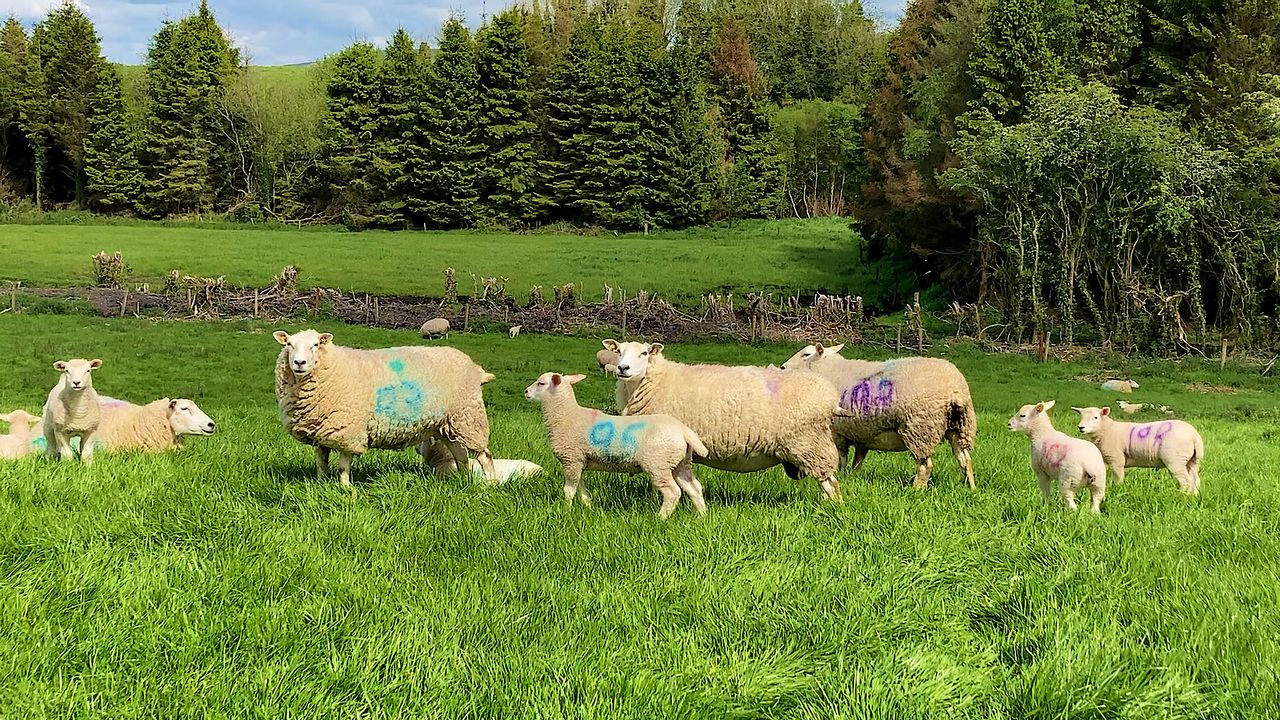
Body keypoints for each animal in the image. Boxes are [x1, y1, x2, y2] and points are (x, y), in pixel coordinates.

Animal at [275, 329, 498, 487]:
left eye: (315, 345)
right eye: (289, 344)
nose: (299, 363)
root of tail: (476, 369)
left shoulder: (349, 431)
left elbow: (343, 467)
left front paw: (345, 489)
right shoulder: (322, 430)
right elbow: (321, 462)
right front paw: (321, 484)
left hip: (469, 417)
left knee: (484, 455)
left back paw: (491, 485)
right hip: (448, 425)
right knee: (461, 457)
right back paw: (463, 482)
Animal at [526, 371, 708, 518]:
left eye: (541, 383)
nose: (526, 391)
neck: (566, 415)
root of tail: (683, 430)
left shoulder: (572, 459)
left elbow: (569, 490)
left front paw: (566, 510)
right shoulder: (579, 462)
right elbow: (581, 488)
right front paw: (588, 506)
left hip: (658, 463)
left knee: (672, 492)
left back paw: (661, 518)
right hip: (680, 462)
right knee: (694, 488)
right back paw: (701, 515)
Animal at [605, 339, 847, 501]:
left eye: (644, 353)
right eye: (618, 351)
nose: (623, 368)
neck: (657, 382)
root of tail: (830, 396)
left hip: (810, 445)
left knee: (830, 483)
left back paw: (831, 507)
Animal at [780, 342, 976, 489]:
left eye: (806, 354)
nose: (782, 367)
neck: (829, 370)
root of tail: (954, 389)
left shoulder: (838, 433)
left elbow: (842, 460)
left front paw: (842, 476)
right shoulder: (861, 434)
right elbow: (857, 462)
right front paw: (852, 477)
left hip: (920, 428)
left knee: (925, 465)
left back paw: (916, 490)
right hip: (959, 427)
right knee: (965, 459)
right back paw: (971, 487)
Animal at [1072, 405, 1204, 494]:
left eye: (1095, 417)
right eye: (1081, 416)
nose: (1081, 427)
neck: (1107, 430)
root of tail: (1194, 436)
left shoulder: (1116, 460)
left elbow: (1118, 478)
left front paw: (1118, 490)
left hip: (1176, 460)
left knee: (1186, 482)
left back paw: (1182, 495)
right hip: (1192, 460)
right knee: (1195, 481)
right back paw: (1194, 495)